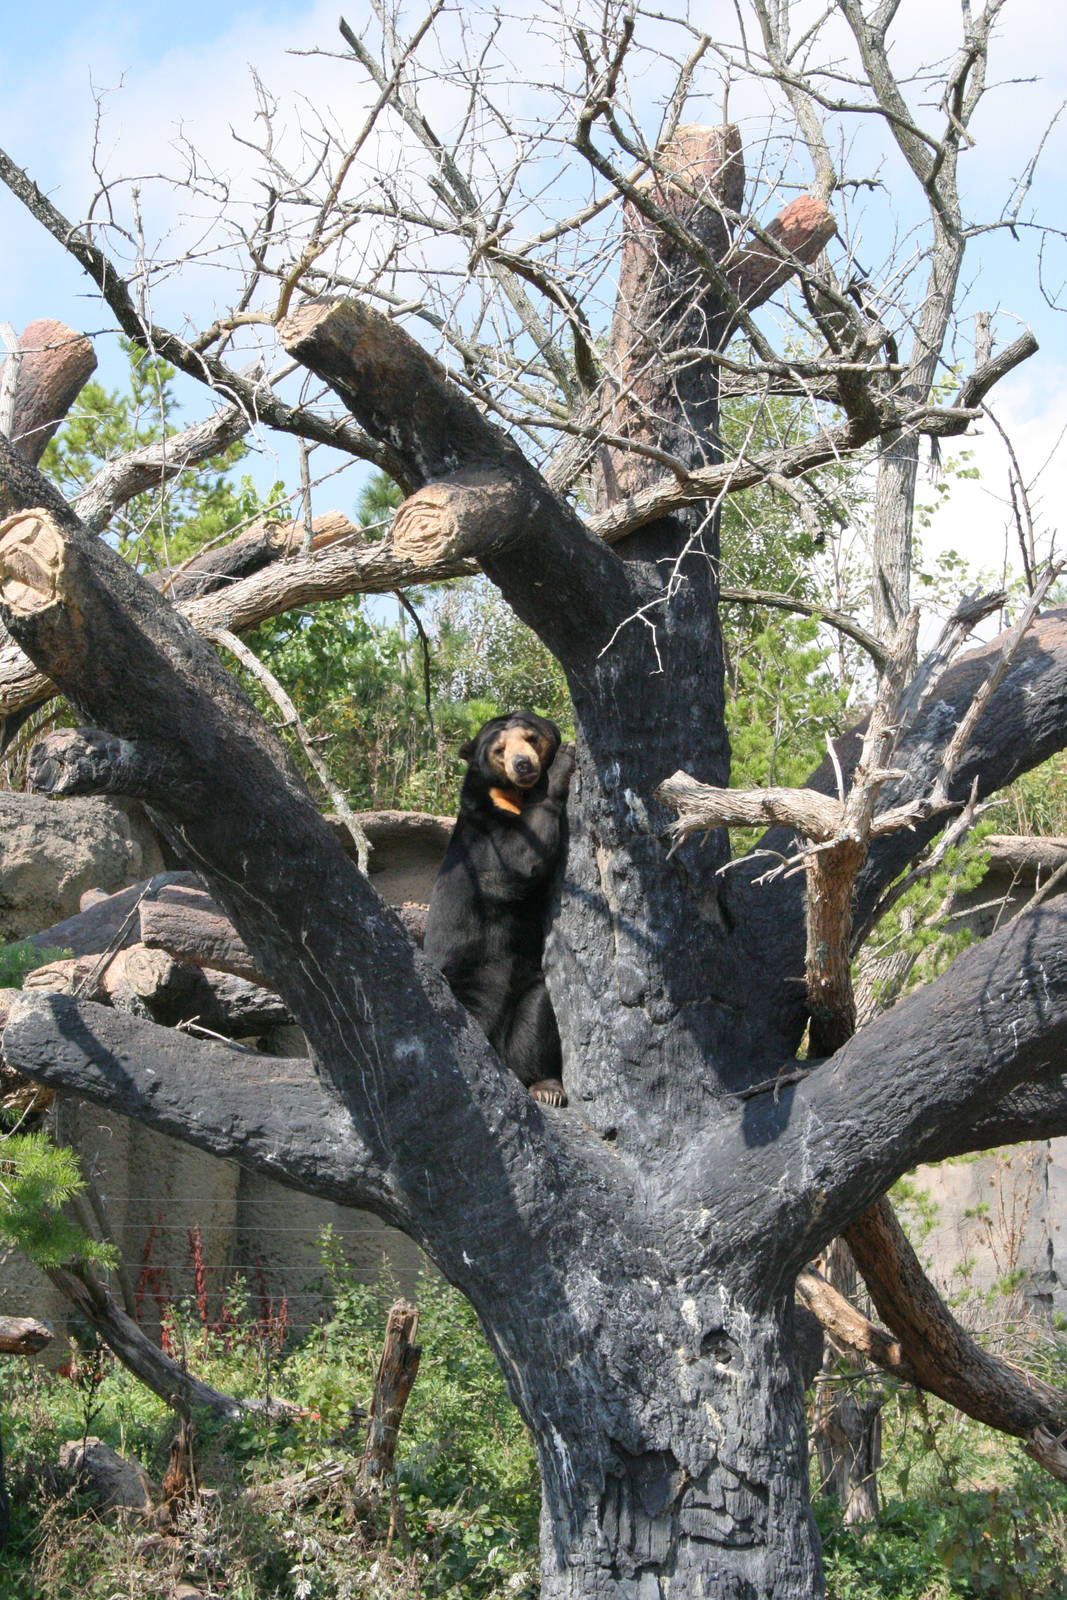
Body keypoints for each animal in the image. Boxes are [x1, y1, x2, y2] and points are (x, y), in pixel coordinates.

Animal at [423, 710, 574, 1107]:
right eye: (499, 750)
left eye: (531, 737)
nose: (523, 765)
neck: (516, 794)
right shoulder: (485, 829)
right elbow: (519, 857)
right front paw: (564, 761)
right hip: (462, 982)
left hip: (523, 991)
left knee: (537, 1014)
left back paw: (546, 1086)